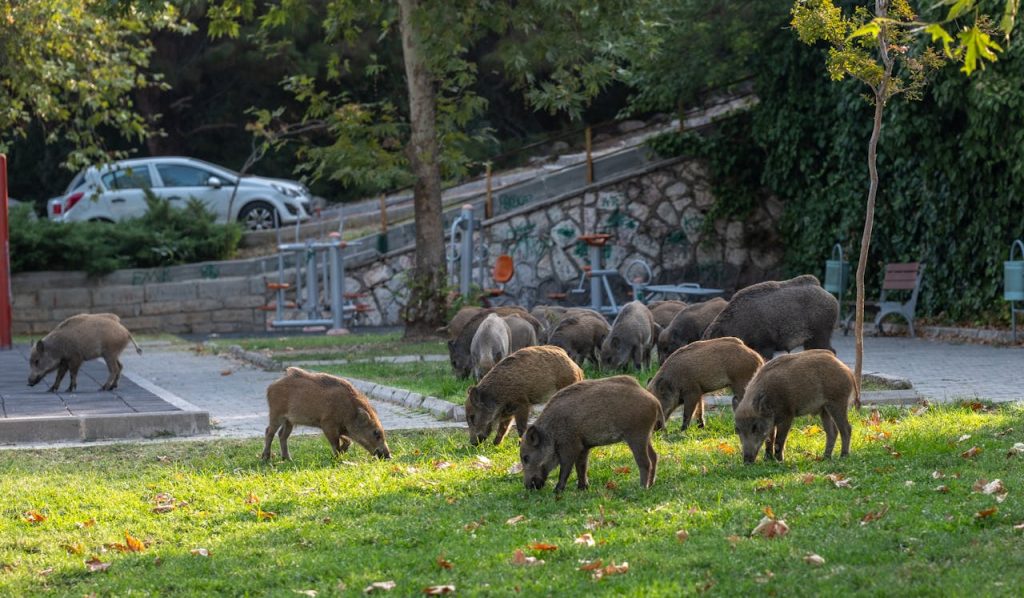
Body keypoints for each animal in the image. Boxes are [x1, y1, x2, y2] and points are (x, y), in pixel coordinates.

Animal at [261, 367, 391, 461]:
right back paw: (266, 458)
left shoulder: (339, 428)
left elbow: (347, 441)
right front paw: (338, 458)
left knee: (282, 435)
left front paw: (342, 453)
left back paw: (288, 459)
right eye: (376, 433)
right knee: (269, 432)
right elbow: (335, 443)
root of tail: (270, 387)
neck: (350, 411)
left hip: (289, 421)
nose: (389, 456)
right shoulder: (328, 424)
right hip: (276, 414)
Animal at [520, 376, 663, 492]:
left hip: (637, 435)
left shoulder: (570, 446)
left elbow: (565, 468)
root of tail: (655, 401)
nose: (528, 487)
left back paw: (642, 487)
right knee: (654, 457)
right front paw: (582, 488)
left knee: (645, 461)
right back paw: (651, 485)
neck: (551, 432)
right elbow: (581, 466)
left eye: (526, 457)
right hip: (646, 436)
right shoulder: (584, 447)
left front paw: (557, 491)